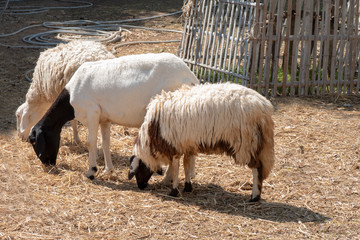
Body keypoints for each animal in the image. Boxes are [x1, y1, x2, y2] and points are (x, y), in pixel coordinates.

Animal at [29, 53, 200, 179]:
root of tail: (191, 77)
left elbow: (91, 142)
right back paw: (189, 175)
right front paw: (108, 170)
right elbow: (105, 143)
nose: (48, 164)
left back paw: (169, 178)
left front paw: (91, 171)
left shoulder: (92, 113)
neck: (71, 96)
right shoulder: (104, 118)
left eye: (34, 142)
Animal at [128, 81, 274, 202]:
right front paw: (187, 187)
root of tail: (264, 107)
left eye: (138, 170)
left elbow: (176, 168)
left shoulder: (175, 146)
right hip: (256, 143)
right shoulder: (187, 145)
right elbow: (187, 164)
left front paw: (174, 191)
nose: (141, 186)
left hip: (246, 143)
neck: (150, 135)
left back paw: (254, 196)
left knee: (257, 169)